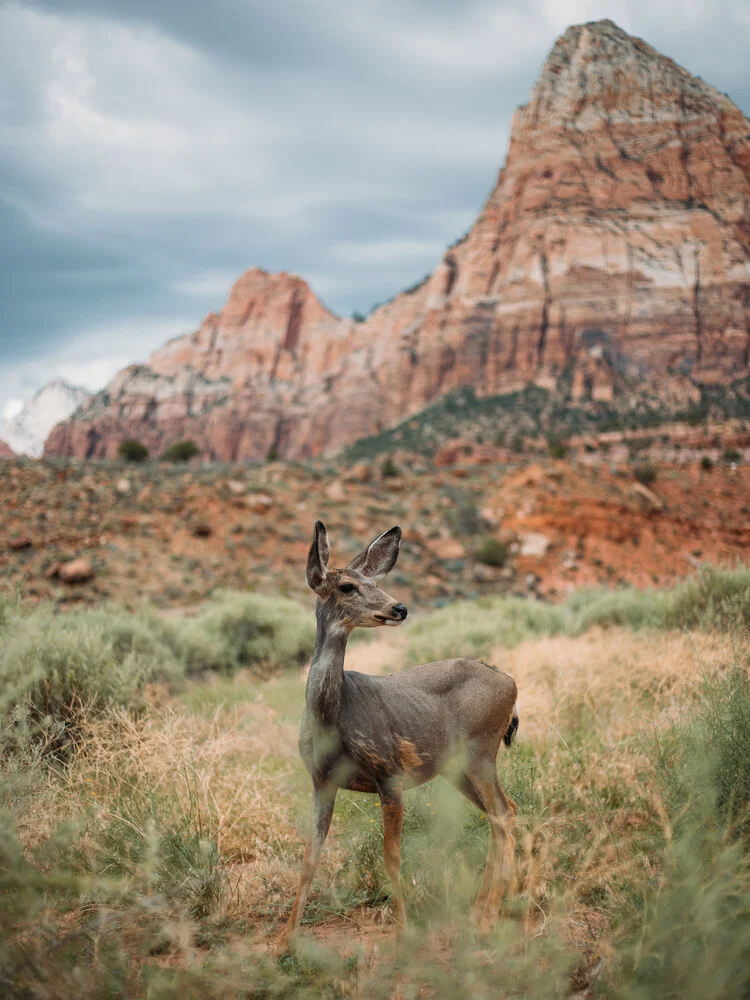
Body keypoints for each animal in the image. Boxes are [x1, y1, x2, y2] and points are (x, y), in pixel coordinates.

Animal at [284, 524, 520, 944]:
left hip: (480, 750)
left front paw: (403, 931)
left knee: (503, 815)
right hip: (458, 767)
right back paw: (482, 911)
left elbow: (391, 854)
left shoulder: (389, 771)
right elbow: (310, 855)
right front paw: (285, 939)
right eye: (347, 586)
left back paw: (489, 918)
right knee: (504, 812)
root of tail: (510, 682)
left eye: (374, 581)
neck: (334, 715)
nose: (400, 608)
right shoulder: (321, 780)